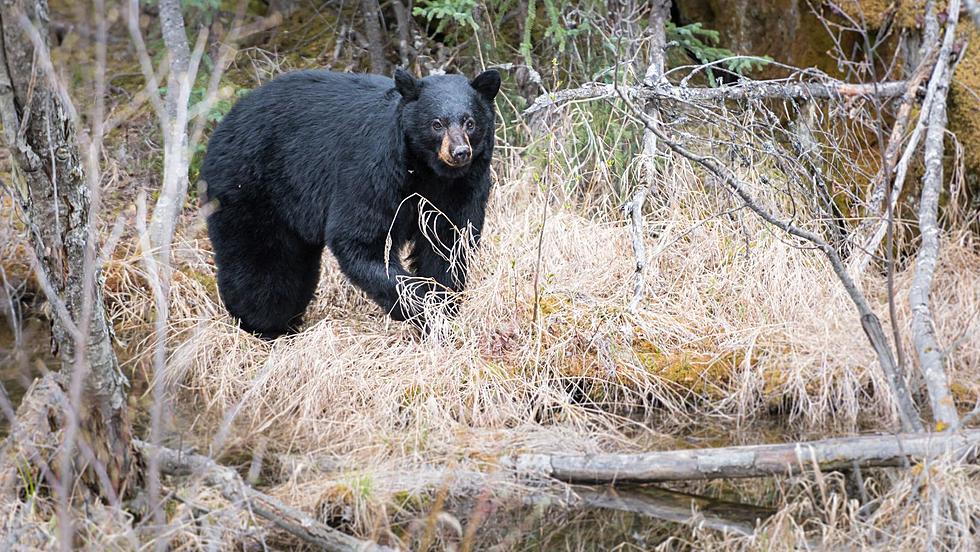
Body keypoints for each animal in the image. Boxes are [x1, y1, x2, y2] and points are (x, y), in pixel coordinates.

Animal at [203, 68, 502, 336]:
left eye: (470, 122)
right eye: (437, 123)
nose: (460, 152)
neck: (427, 171)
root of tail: (225, 123)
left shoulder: (461, 188)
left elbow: (448, 244)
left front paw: (441, 309)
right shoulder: (375, 173)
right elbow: (362, 240)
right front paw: (420, 308)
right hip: (251, 186)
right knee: (261, 263)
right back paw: (265, 326)